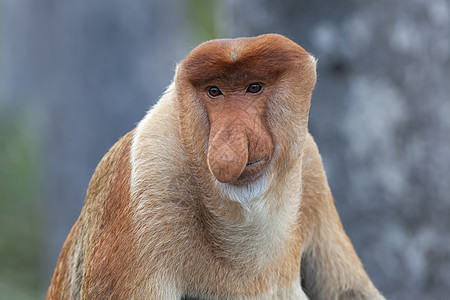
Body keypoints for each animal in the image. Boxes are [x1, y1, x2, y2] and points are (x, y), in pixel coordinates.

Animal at [47, 34, 384, 298]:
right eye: (214, 91)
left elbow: (350, 290)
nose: (227, 143)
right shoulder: (150, 178)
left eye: (253, 87)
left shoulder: (309, 165)